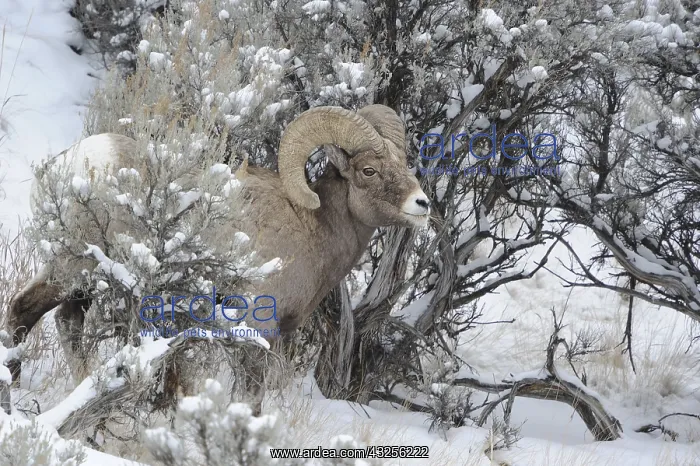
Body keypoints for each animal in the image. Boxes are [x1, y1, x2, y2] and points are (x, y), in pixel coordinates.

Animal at [5, 104, 430, 411]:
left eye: (405, 164)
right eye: (369, 170)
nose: (422, 204)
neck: (311, 225)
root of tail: (66, 164)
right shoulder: (255, 327)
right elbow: (249, 399)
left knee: (65, 320)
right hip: (74, 266)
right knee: (26, 309)